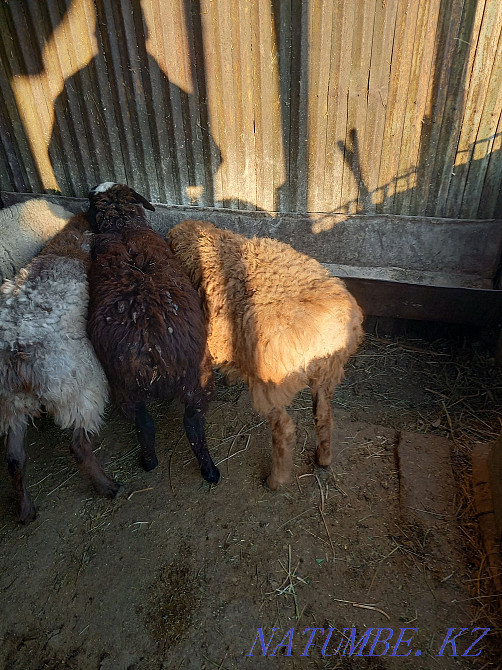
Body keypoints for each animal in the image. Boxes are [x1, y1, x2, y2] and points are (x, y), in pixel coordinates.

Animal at [0, 213, 122, 523]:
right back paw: (107, 486)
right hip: (81, 386)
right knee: (78, 445)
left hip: (11, 405)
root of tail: (16, 352)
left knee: (14, 459)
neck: (66, 243)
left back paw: (25, 510)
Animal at [86, 183, 220, 485]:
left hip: (129, 387)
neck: (123, 229)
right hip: (189, 377)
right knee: (188, 423)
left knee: (149, 424)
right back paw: (204, 470)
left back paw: (157, 462)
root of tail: (152, 352)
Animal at [167, 220, 364, 490]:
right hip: (326, 375)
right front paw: (231, 376)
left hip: (271, 383)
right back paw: (323, 458)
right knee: (323, 415)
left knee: (284, 429)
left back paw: (275, 480)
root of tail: (327, 331)